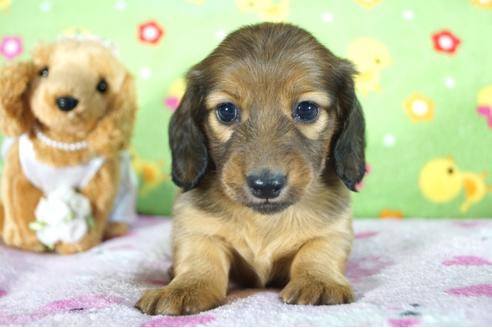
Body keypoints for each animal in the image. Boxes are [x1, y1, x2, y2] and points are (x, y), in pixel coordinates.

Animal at [135, 22, 366, 316]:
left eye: (306, 109)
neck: (264, 221)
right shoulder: (196, 230)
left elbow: (317, 252)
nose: (265, 185)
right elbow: (200, 260)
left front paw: (319, 281)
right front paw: (185, 288)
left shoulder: (334, 230)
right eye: (226, 111)